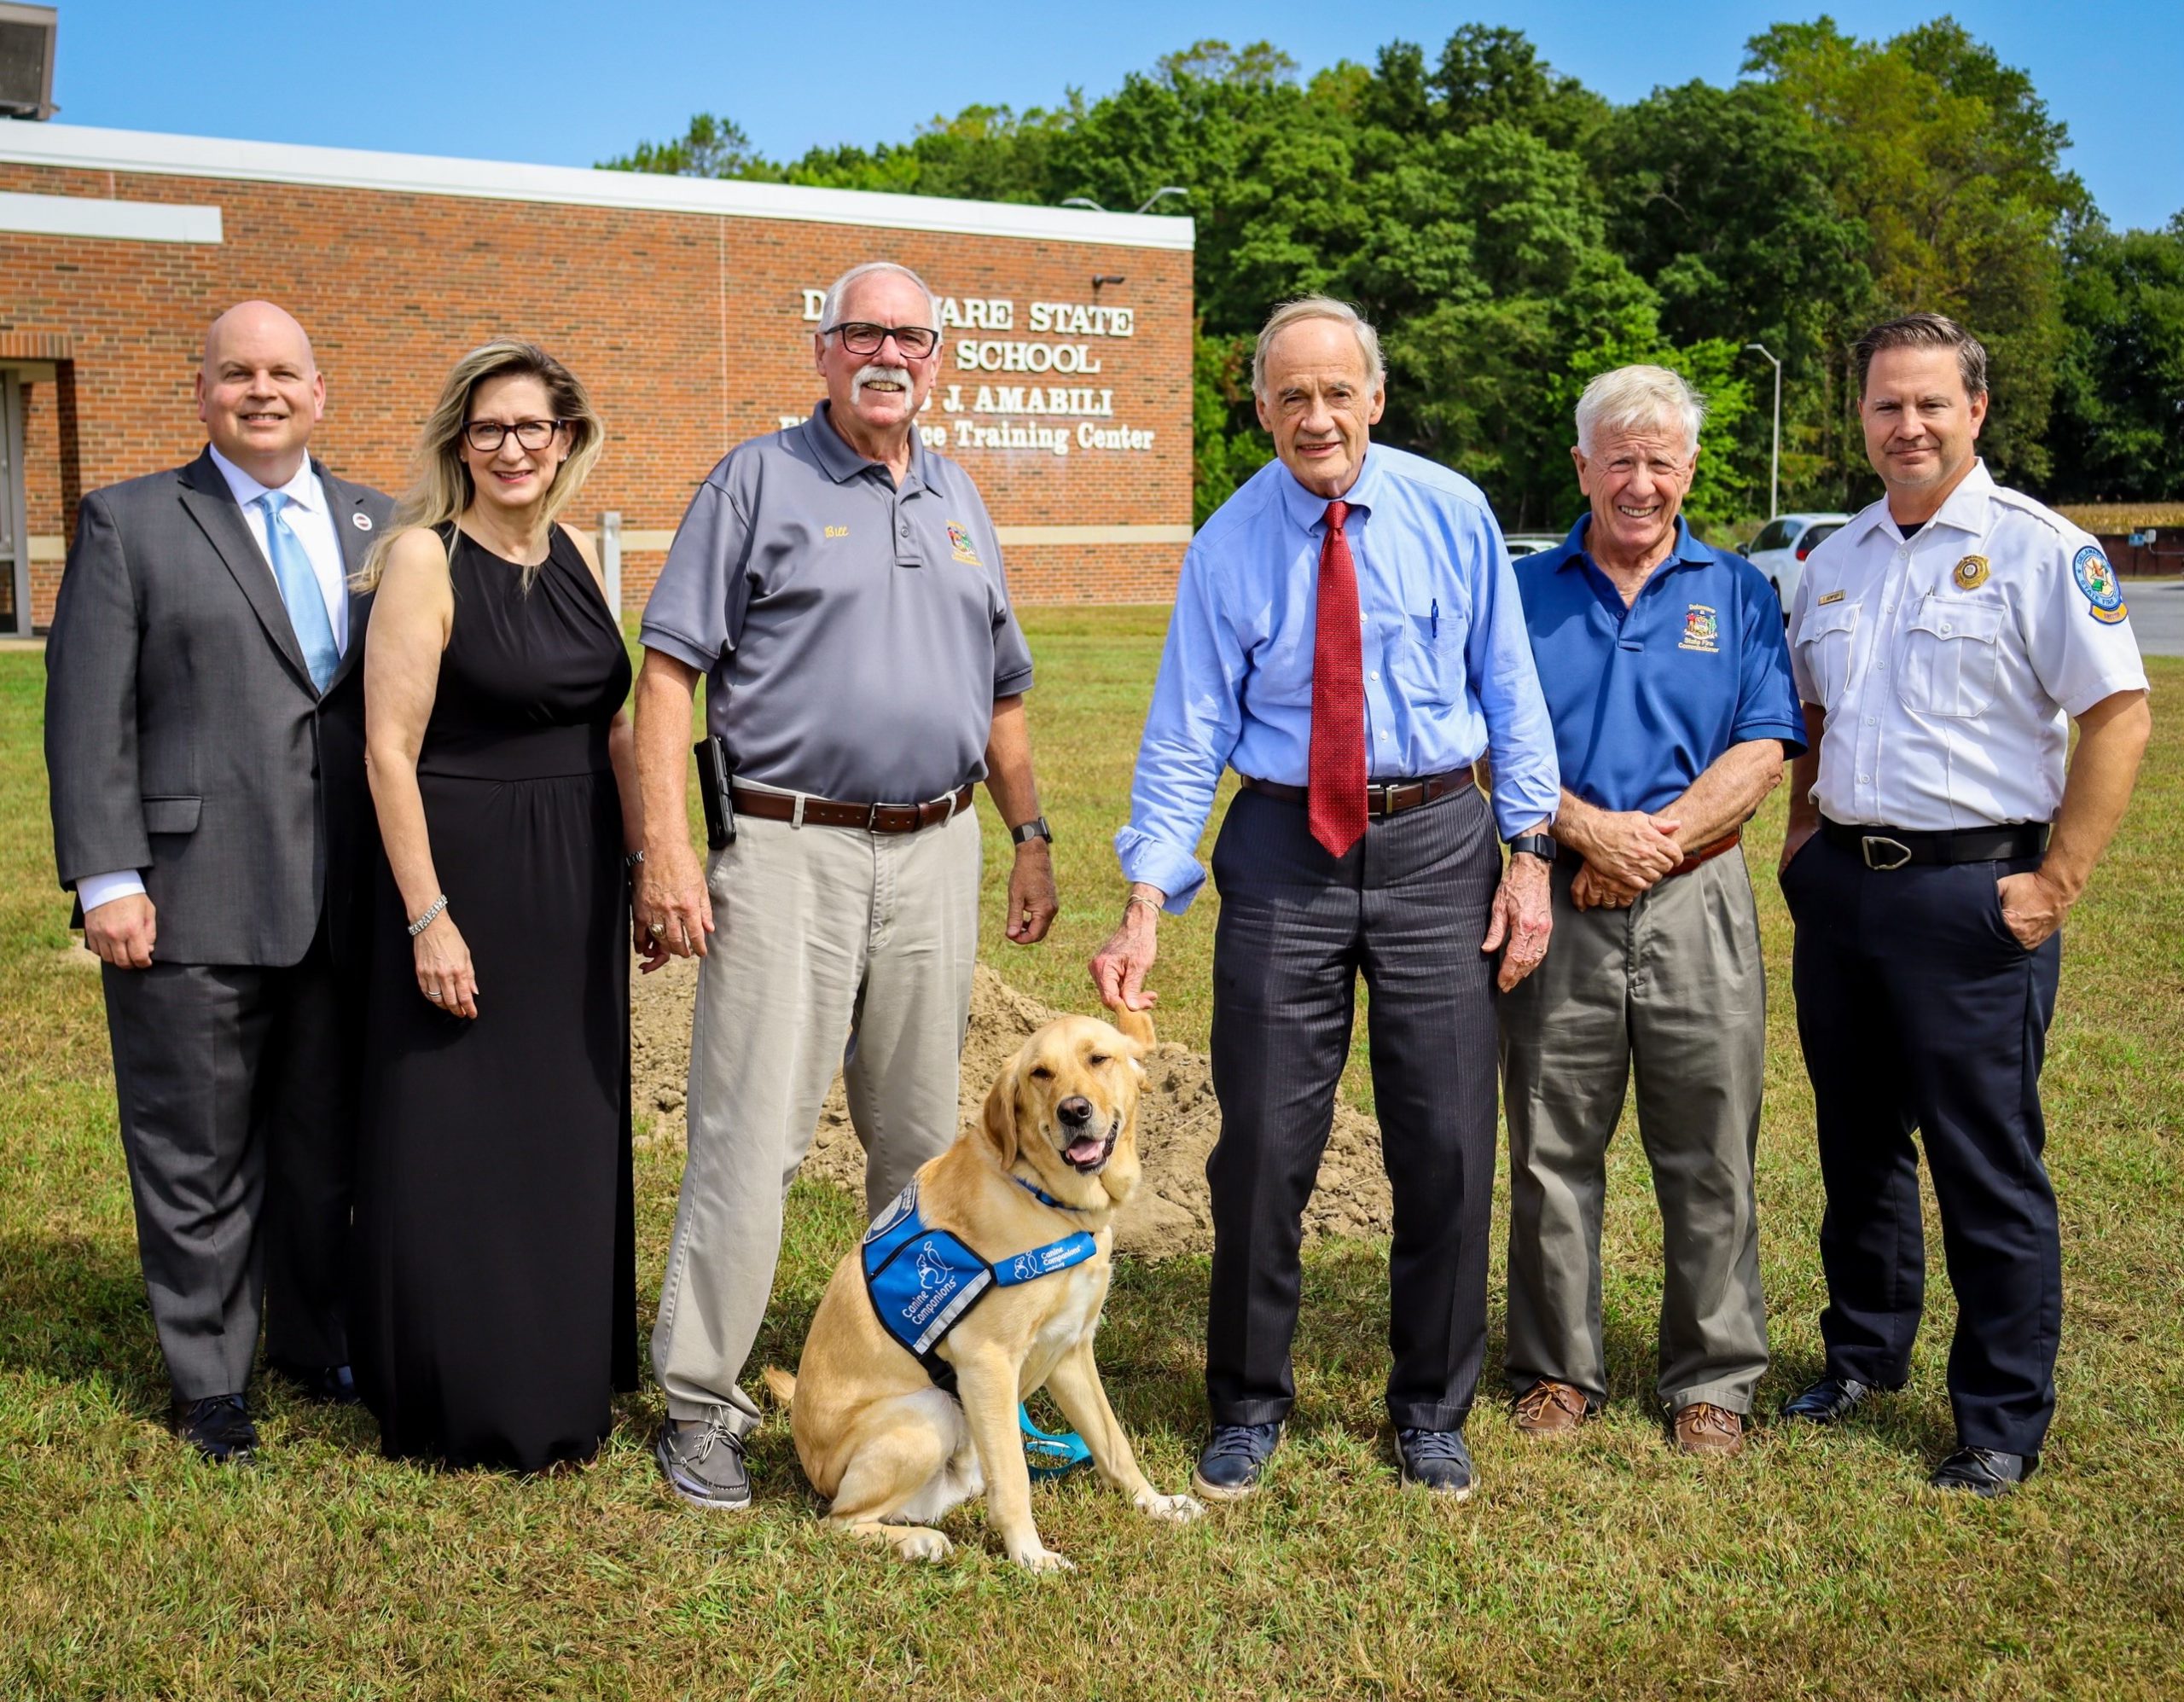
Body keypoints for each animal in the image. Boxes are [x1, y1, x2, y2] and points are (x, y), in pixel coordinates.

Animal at [769, 1005, 1205, 1582]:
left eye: (1099, 1058)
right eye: (1040, 1073)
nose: (1074, 1111)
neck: (1045, 1197)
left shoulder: (1071, 1350)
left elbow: (1114, 1444)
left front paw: (1155, 1504)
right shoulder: (987, 1360)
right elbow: (1016, 1478)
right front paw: (1030, 1555)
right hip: (927, 1411)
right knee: (839, 1520)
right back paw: (918, 1542)